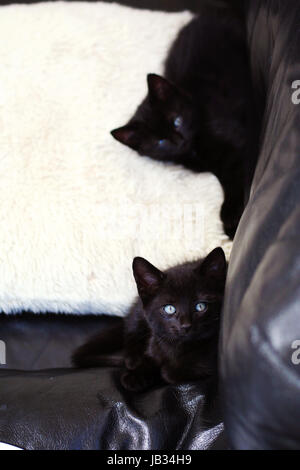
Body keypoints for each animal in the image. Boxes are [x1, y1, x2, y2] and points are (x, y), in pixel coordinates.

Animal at [73, 248, 227, 394]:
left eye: (200, 306)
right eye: (169, 308)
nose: (185, 325)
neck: (176, 348)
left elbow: (170, 372)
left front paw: (162, 370)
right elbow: (151, 357)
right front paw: (136, 375)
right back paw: (134, 360)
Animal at [111, 7, 254, 241]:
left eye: (177, 121)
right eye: (160, 142)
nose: (179, 140)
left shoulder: (238, 145)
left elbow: (233, 179)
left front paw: (232, 222)